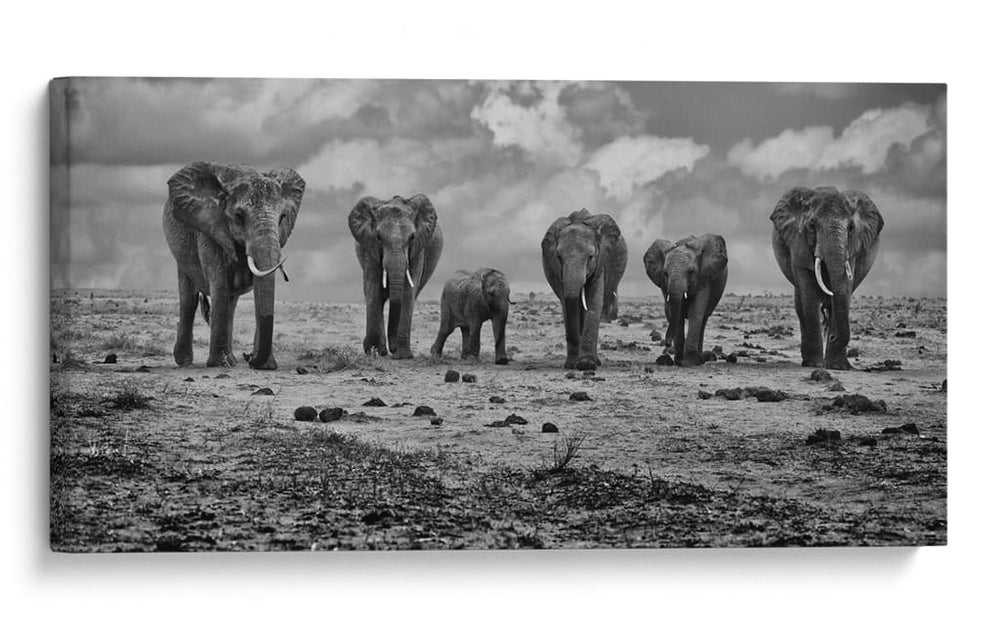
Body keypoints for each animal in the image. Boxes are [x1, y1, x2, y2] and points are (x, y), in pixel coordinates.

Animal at [162, 161, 305, 369]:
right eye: (239, 216)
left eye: (282, 218)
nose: (249, 357)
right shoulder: (209, 229)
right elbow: (219, 281)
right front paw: (219, 364)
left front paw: (265, 366)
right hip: (181, 253)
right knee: (189, 299)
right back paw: (186, 361)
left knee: (230, 303)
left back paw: (232, 360)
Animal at [349, 194, 444, 359]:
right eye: (378, 237)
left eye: (412, 237)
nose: (393, 349)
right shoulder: (370, 247)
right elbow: (373, 288)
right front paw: (374, 352)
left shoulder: (418, 250)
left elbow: (408, 292)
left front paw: (403, 356)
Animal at [542, 209, 627, 370]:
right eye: (558, 258)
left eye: (590, 257)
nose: (574, 364)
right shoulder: (557, 271)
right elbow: (567, 305)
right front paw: (571, 365)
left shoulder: (601, 263)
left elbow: (593, 303)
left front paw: (586, 364)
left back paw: (595, 361)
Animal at [643, 234, 728, 366]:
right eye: (665, 273)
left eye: (691, 272)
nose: (667, 344)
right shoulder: (664, 284)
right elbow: (675, 313)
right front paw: (679, 361)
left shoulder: (703, 277)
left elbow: (696, 311)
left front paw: (689, 361)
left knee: (703, 320)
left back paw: (699, 360)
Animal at [770, 186, 884, 370]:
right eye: (811, 226)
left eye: (851, 228)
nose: (832, 337)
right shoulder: (798, 244)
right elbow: (809, 296)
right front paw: (814, 364)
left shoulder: (852, 249)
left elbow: (845, 289)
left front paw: (837, 367)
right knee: (801, 306)